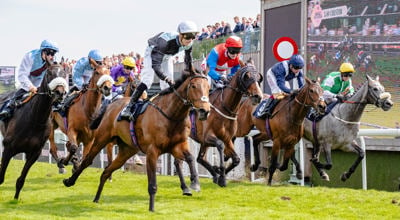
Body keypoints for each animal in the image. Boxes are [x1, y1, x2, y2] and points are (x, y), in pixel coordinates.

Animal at [0, 62, 67, 199]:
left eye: (64, 73)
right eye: (50, 73)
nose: (60, 92)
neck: (35, 118)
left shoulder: (34, 153)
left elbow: (21, 180)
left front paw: (15, 198)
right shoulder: (8, 148)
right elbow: (1, 177)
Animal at [62, 69, 209, 212]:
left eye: (208, 87)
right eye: (194, 86)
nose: (205, 110)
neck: (170, 115)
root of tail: (111, 105)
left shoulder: (177, 146)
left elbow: (190, 158)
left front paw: (195, 183)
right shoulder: (152, 151)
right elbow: (153, 183)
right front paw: (151, 209)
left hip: (127, 150)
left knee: (106, 171)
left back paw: (96, 198)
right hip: (101, 139)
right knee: (87, 160)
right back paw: (69, 180)